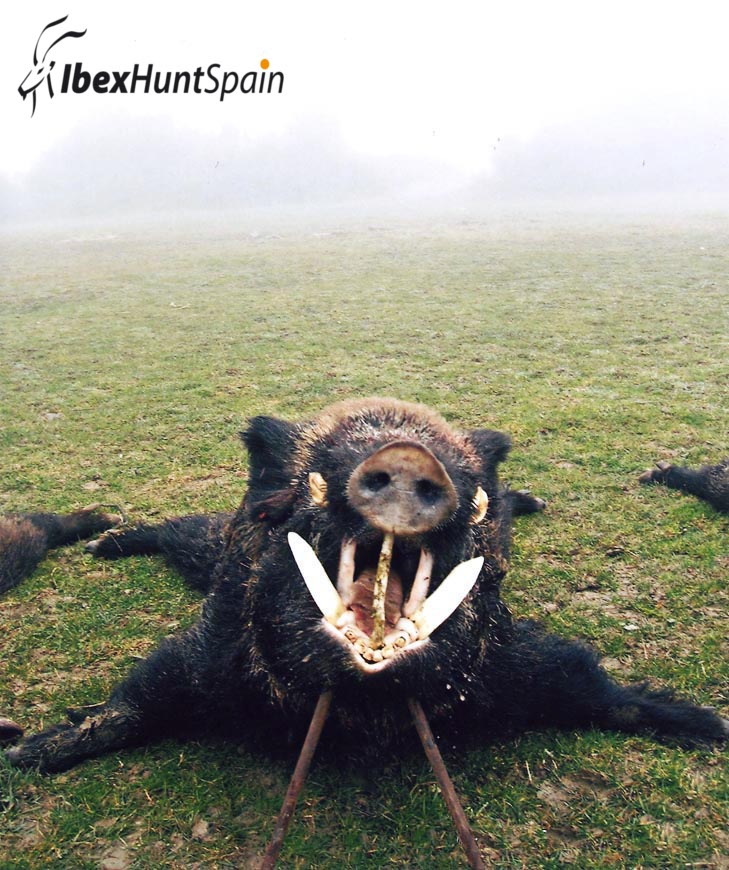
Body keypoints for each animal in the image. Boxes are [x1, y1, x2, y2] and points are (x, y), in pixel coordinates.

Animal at [5, 398, 727, 775]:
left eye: (467, 484)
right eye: (318, 474)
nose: (406, 459)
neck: (364, 714)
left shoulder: (518, 667)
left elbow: (606, 694)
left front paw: (709, 727)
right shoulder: (208, 658)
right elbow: (134, 700)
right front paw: (27, 753)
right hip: (208, 550)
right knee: (179, 533)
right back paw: (105, 542)